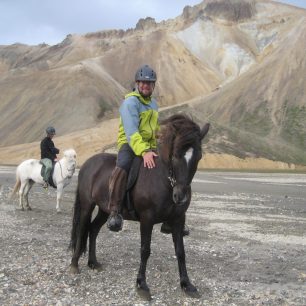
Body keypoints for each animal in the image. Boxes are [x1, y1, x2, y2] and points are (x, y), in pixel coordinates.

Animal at [69, 113, 208, 298]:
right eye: (175, 155)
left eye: (198, 157)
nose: (181, 196)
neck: (163, 179)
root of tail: (87, 164)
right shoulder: (146, 219)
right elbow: (145, 250)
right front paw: (141, 284)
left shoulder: (178, 219)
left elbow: (180, 252)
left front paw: (187, 284)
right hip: (87, 206)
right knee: (82, 229)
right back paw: (74, 264)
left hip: (105, 210)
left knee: (93, 229)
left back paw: (93, 262)